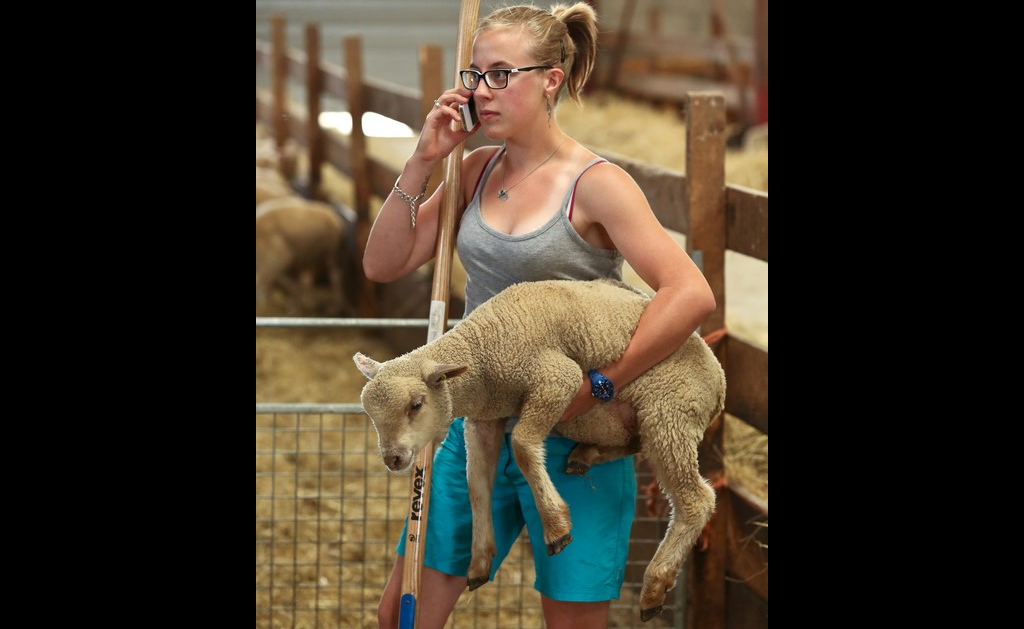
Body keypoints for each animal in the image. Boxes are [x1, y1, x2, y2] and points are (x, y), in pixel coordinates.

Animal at [356, 278, 724, 622]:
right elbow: (476, 486)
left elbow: (521, 444)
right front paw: (480, 557)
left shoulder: (557, 379)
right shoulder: (484, 420)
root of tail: (719, 383)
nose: (392, 458)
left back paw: (655, 585)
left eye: (416, 404)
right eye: (369, 413)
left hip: (670, 414)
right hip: (636, 422)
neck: (482, 352)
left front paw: (556, 525)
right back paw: (585, 455)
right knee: (633, 445)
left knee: (697, 500)